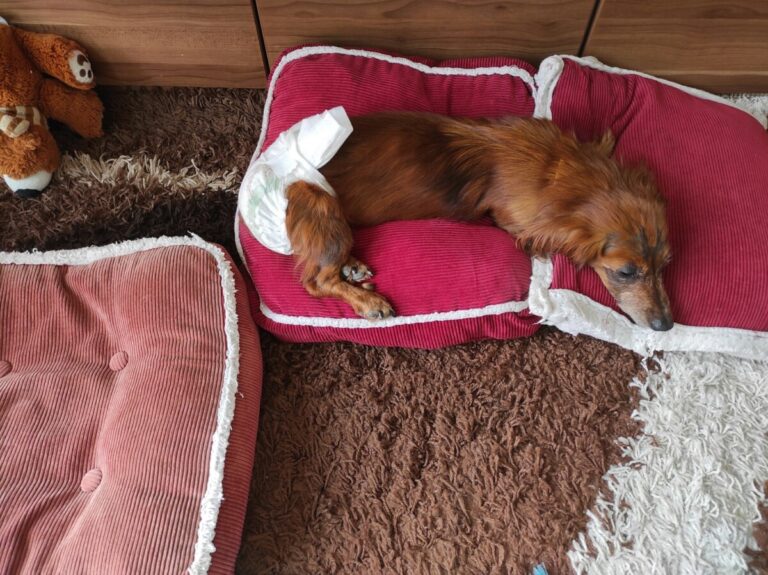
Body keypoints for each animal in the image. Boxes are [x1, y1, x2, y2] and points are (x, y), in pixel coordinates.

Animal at [284, 112, 672, 330]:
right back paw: (369, 302)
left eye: (666, 264)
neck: (562, 171)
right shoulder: (514, 219)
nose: (666, 325)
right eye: (626, 272)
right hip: (322, 205)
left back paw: (353, 267)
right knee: (316, 280)